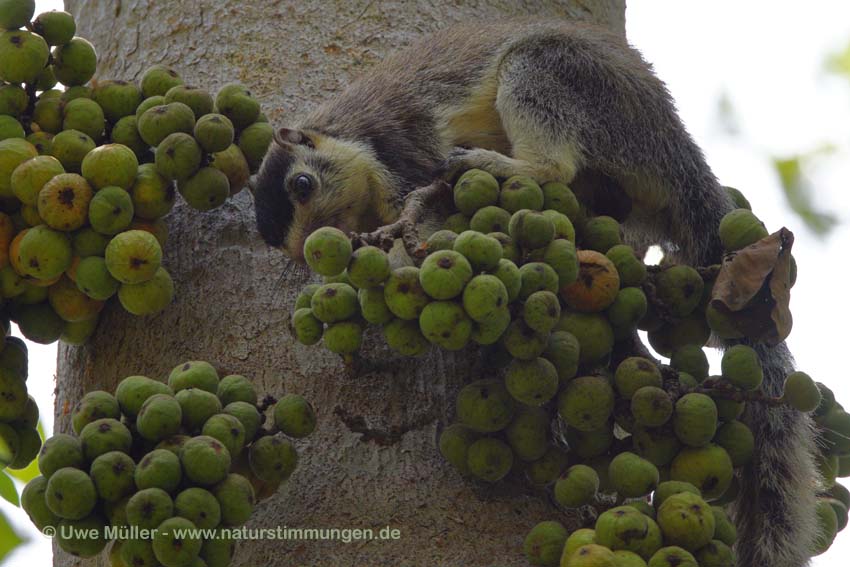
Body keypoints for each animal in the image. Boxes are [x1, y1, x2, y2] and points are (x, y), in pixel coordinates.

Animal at [253, 17, 820, 567]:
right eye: (298, 252)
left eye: (302, 185)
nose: (315, 244)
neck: (349, 134)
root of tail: (676, 152)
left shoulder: (403, 155)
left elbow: (423, 232)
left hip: (558, 79)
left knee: (555, 163)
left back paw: (505, 164)